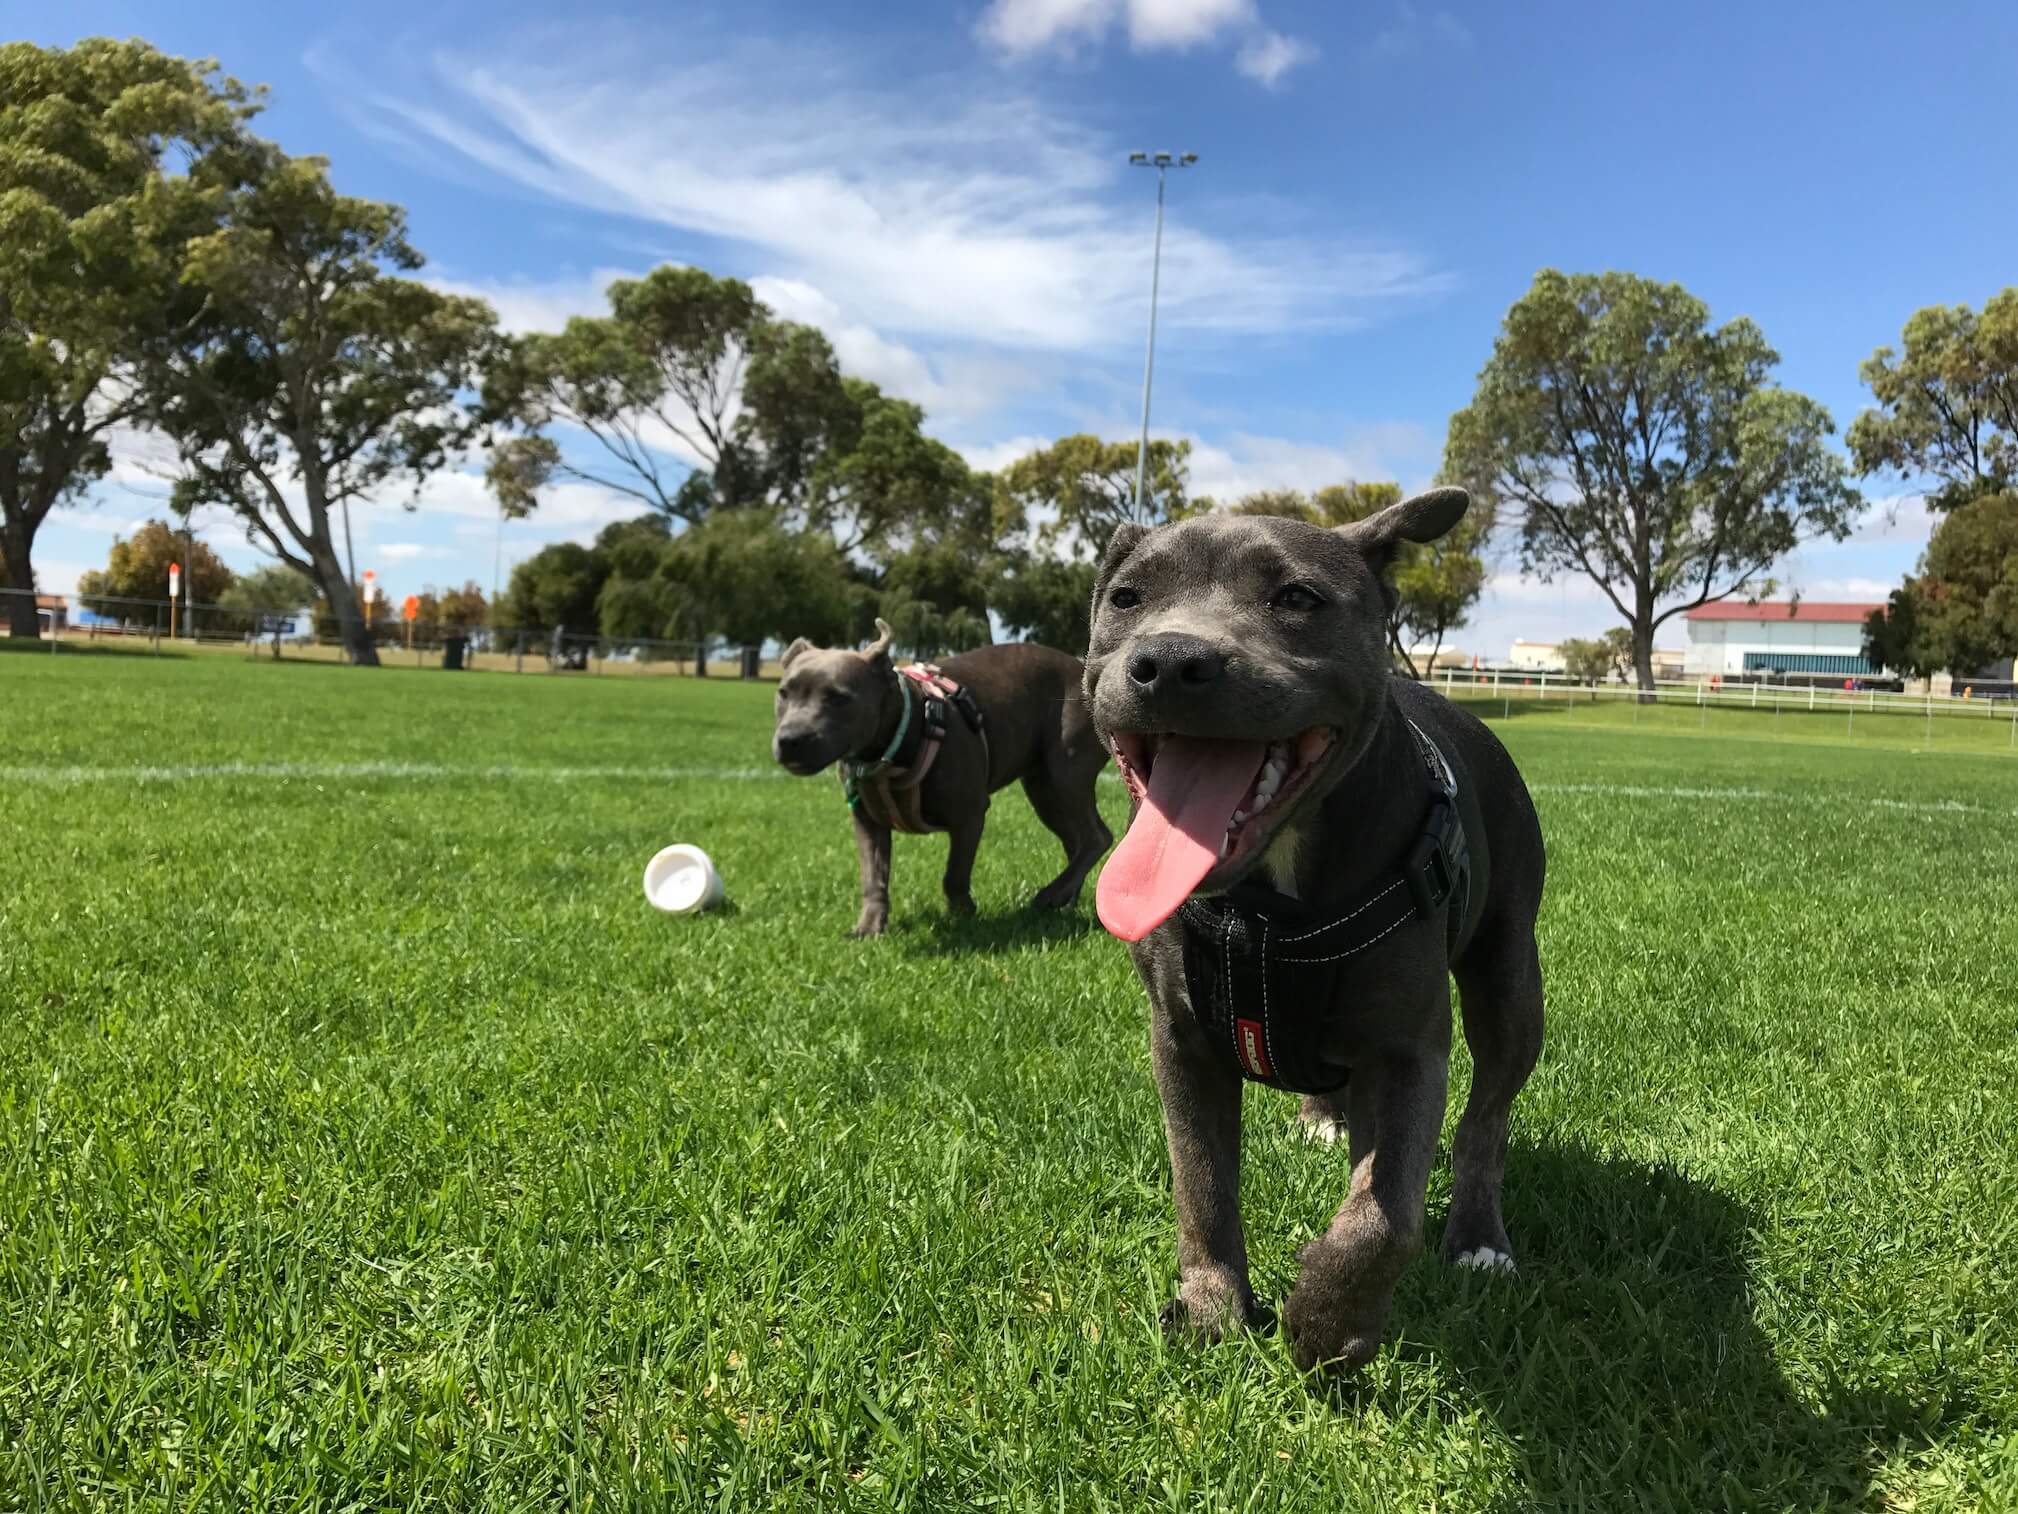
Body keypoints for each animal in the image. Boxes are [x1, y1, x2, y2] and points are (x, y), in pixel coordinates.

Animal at [774, 617, 1122, 936]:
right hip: (1042, 788)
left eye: (838, 697)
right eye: (783, 693)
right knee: (1075, 841)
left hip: (1065, 773)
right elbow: (873, 877)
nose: (790, 739)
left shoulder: (969, 816)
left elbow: (954, 874)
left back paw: (1051, 894)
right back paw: (1064, 898)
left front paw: (963, 916)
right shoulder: (867, 822)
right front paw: (870, 927)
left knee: (1096, 836)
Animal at [1089, 492, 1541, 1380]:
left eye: (1295, 597)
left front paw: (1328, 1325)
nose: (1170, 660)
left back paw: (1478, 1237)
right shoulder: (1180, 1041)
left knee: (1485, 1121)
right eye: (1125, 598)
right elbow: (1200, 1182)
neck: (1270, 907)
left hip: (1512, 987)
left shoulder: (1408, 1049)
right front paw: (1214, 1307)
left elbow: (1384, 1215)